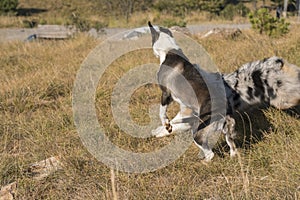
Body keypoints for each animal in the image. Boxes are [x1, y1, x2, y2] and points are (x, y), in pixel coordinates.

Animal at [148, 21, 300, 162]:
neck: (170, 50)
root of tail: (224, 112)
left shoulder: (166, 94)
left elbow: (162, 113)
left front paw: (164, 125)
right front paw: (160, 130)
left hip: (198, 133)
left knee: (210, 153)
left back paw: (204, 162)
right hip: (222, 130)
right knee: (231, 145)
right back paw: (232, 156)